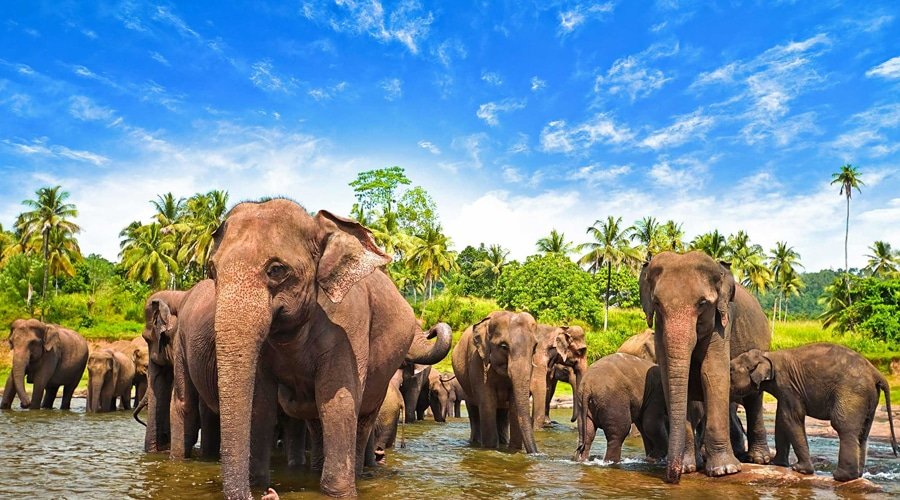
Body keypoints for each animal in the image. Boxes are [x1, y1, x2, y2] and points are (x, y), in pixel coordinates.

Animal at [207, 200, 454, 500]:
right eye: (212, 270)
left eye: (276, 270)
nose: (268, 494)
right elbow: (261, 404)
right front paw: (258, 482)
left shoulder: (349, 323)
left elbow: (338, 401)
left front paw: (338, 492)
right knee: (316, 420)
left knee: (362, 419)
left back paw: (356, 473)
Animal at [450, 312, 536, 454]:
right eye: (504, 347)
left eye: (534, 348)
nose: (535, 453)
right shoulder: (476, 361)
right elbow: (487, 402)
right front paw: (490, 448)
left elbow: (514, 406)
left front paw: (514, 450)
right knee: (474, 412)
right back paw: (476, 442)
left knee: (502, 415)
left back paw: (503, 442)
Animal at [640, 252, 772, 482]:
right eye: (657, 303)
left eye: (702, 303)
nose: (672, 477)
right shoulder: (659, 329)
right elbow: (671, 377)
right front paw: (688, 467)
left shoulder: (722, 322)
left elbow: (712, 373)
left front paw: (724, 470)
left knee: (754, 400)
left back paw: (758, 459)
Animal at [732, 344, 900, 480]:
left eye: (731, 369)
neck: (767, 355)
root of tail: (876, 373)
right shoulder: (785, 391)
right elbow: (781, 420)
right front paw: (777, 463)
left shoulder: (788, 385)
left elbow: (790, 418)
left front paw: (800, 469)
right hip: (870, 399)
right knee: (863, 433)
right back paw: (857, 475)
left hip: (852, 393)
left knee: (843, 427)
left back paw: (841, 477)